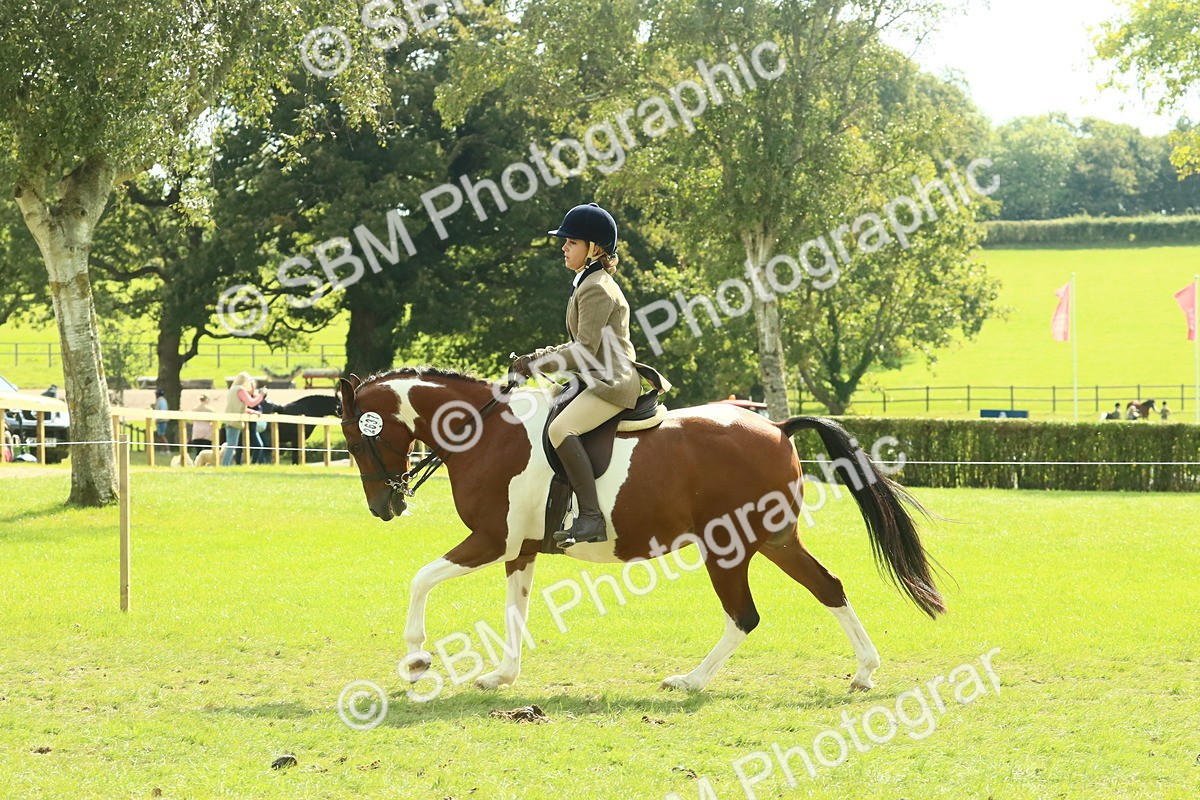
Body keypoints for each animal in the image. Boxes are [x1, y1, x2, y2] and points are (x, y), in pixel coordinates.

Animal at [337, 367, 944, 694]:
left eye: (356, 436)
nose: (384, 506)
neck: (485, 433)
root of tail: (775, 425)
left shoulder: (491, 540)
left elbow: (420, 579)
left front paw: (416, 660)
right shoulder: (520, 548)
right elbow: (515, 610)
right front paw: (500, 677)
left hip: (728, 548)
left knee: (744, 615)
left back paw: (690, 681)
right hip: (775, 541)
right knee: (829, 587)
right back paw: (864, 672)